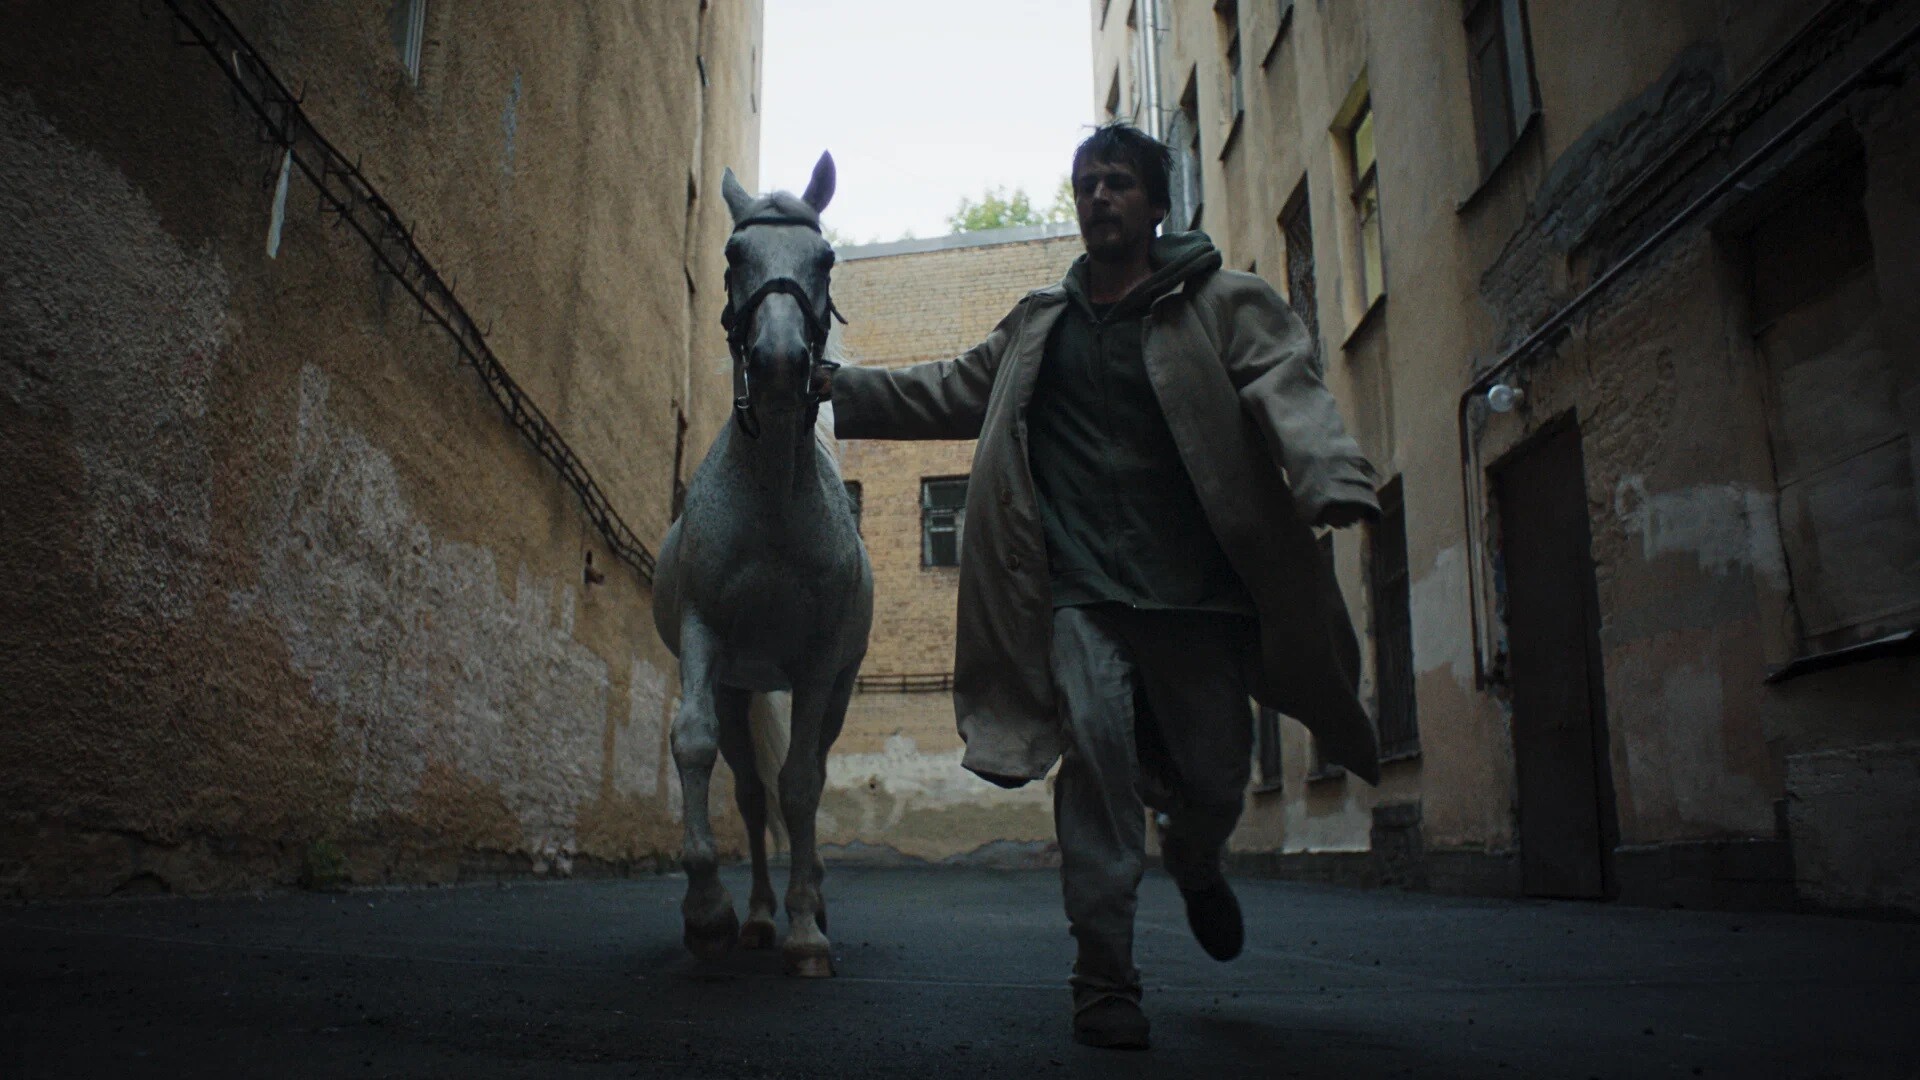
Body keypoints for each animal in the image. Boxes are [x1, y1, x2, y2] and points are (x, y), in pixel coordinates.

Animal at [652, 153, 879, 976]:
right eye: (732, 255)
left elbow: (804, 784)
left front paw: (808, 931)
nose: (780, 362)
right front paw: (707, 913)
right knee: (750, 794)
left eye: (825, 258)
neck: (773, 503)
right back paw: (752, 917)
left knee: (802, 778)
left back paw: (809, 902)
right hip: (738, 687)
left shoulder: (816, 665)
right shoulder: (705, 636)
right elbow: (695, 746)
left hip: (833, 689)